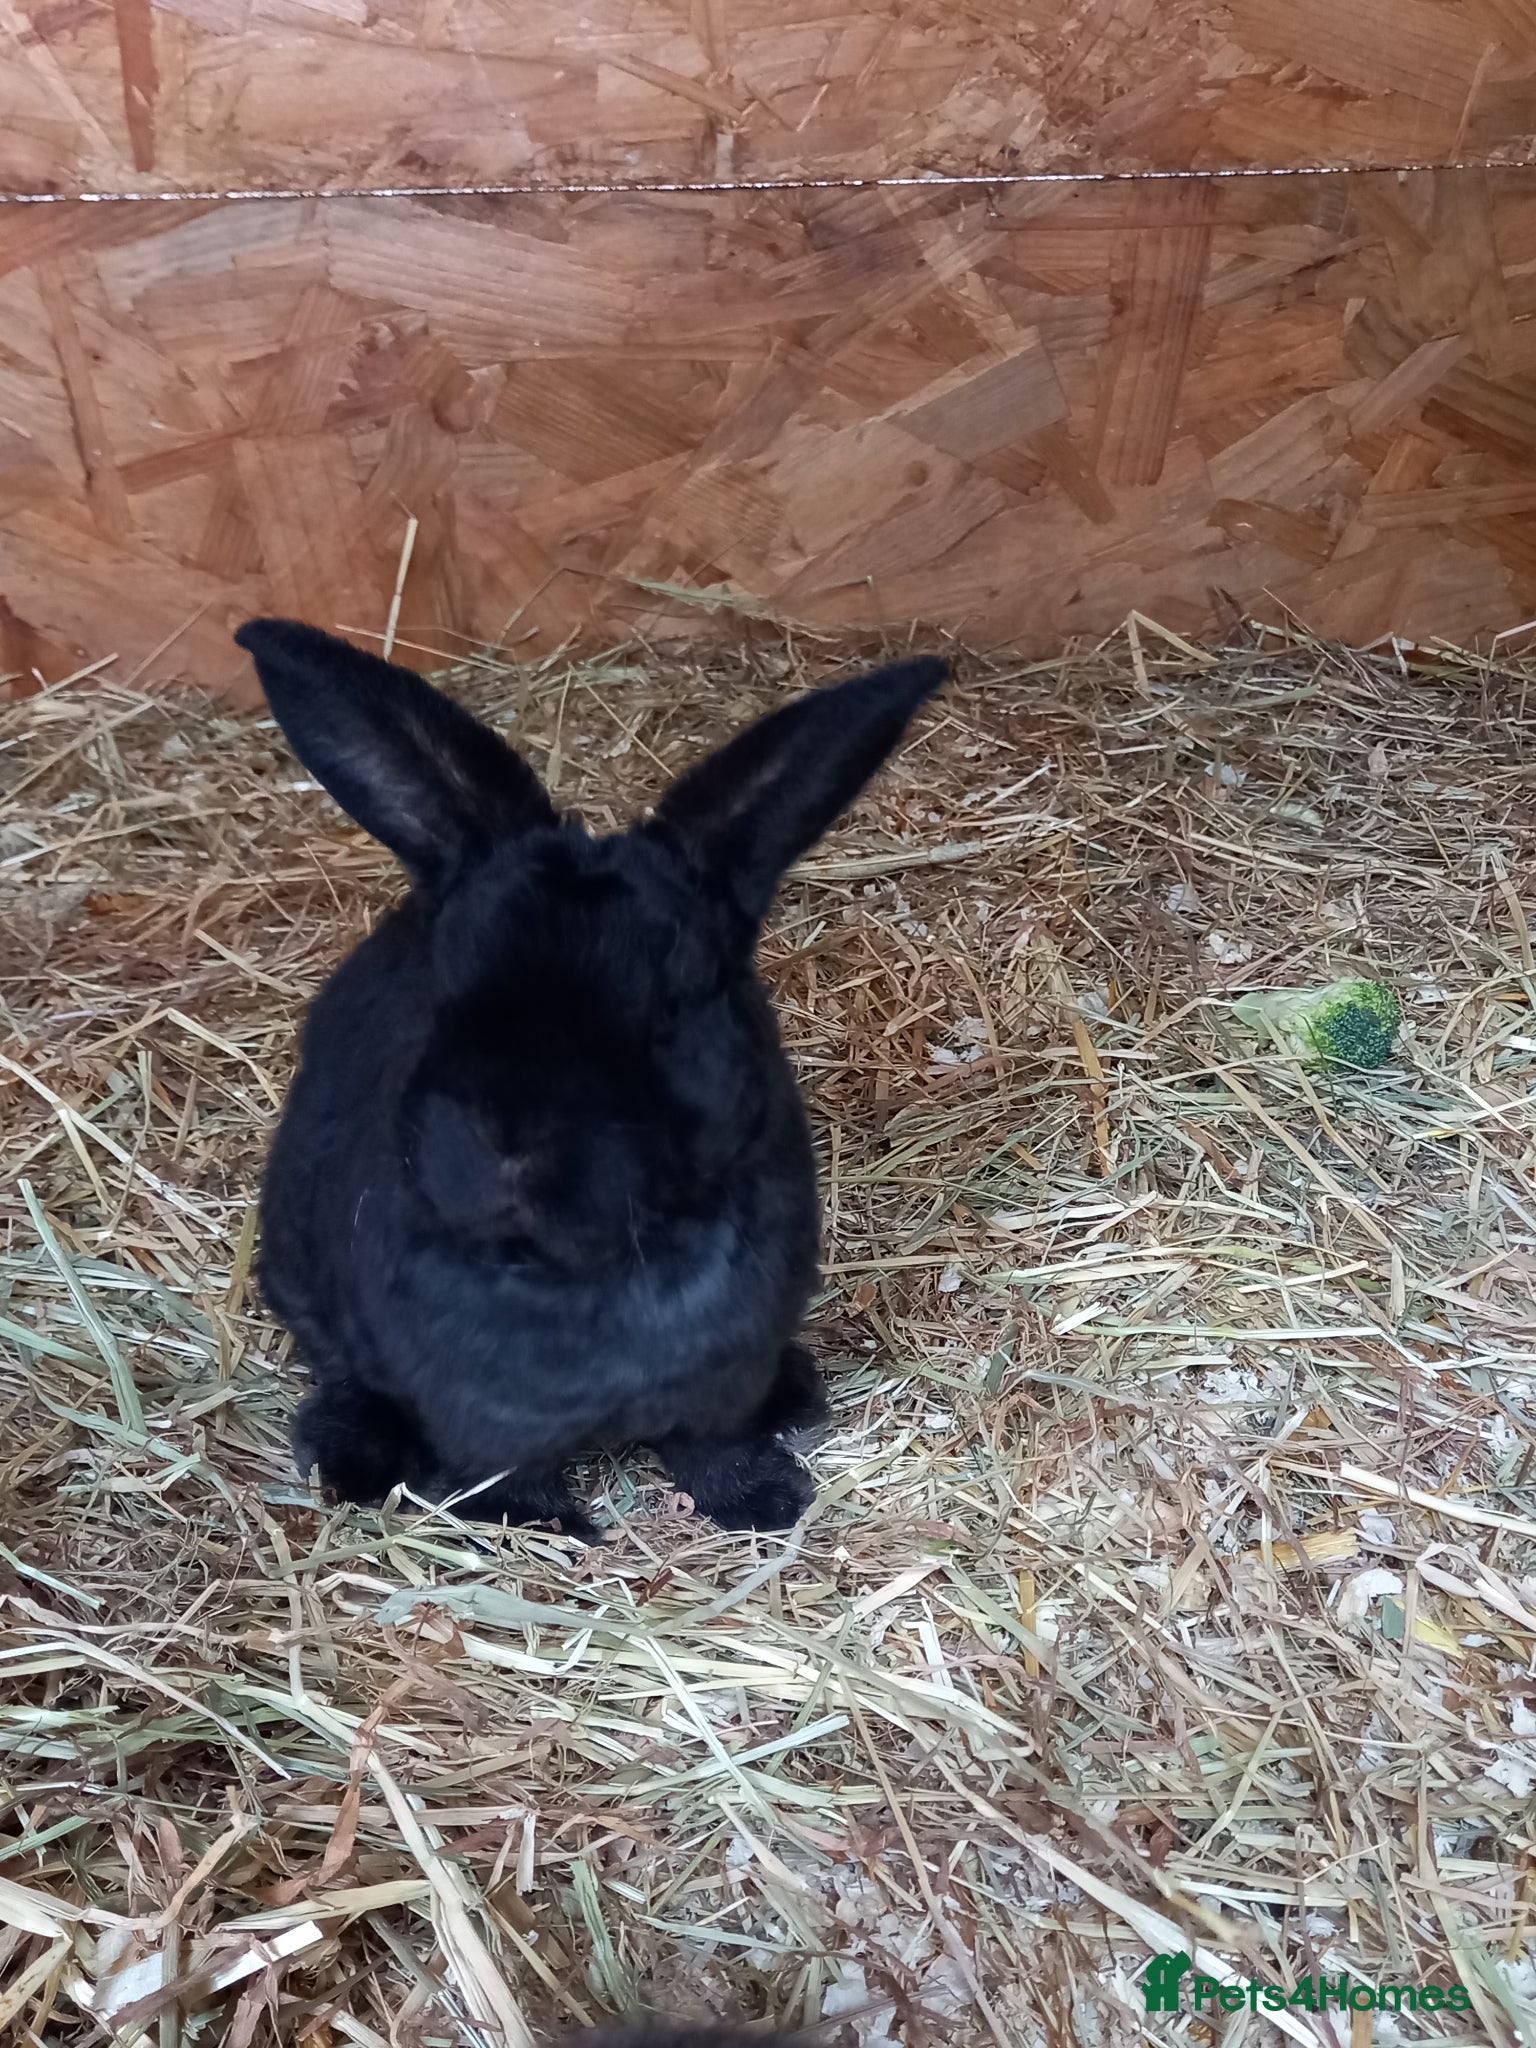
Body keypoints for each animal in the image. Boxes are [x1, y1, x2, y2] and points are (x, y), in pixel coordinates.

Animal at [235, 619, 946, 1538]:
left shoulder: (722, 1388)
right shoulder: (481, 1414)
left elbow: (715, 1450)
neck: (586, 1273)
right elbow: (505, 1471)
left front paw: (765, 1504)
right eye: (446, 988)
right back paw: (352, 1459)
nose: (506, 1139)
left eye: (672, 1006)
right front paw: (546, 1528)